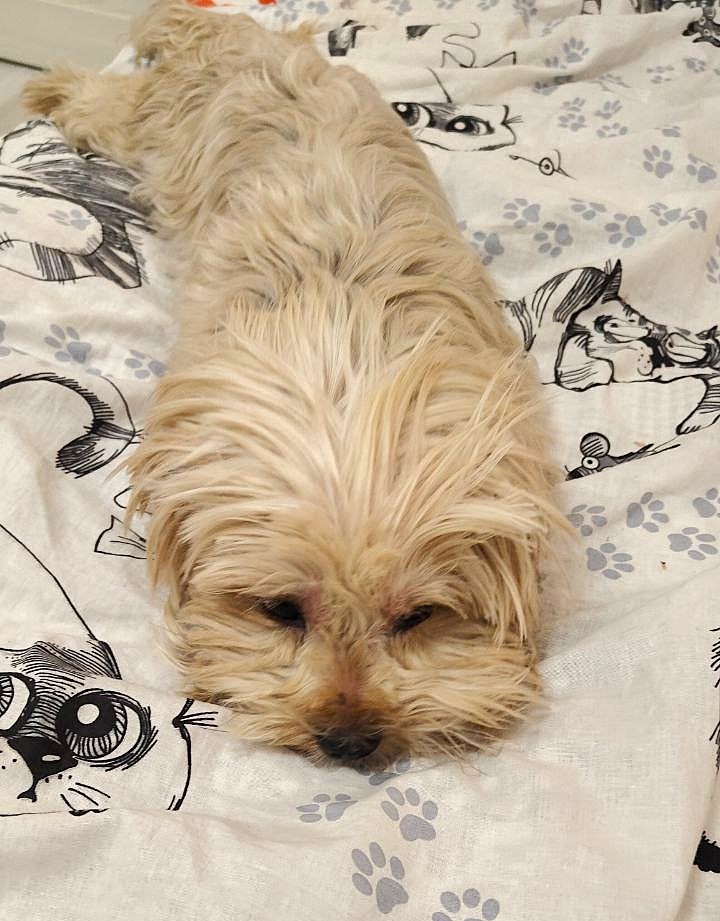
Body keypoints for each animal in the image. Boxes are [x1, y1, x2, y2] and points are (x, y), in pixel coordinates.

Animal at [23, 0, 562, 766]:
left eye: (419, 615)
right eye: (280, 609)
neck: (348, 355)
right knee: (107, 106)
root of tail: (252, 41)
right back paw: (54, 89)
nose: (348, 740)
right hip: (153, 129)